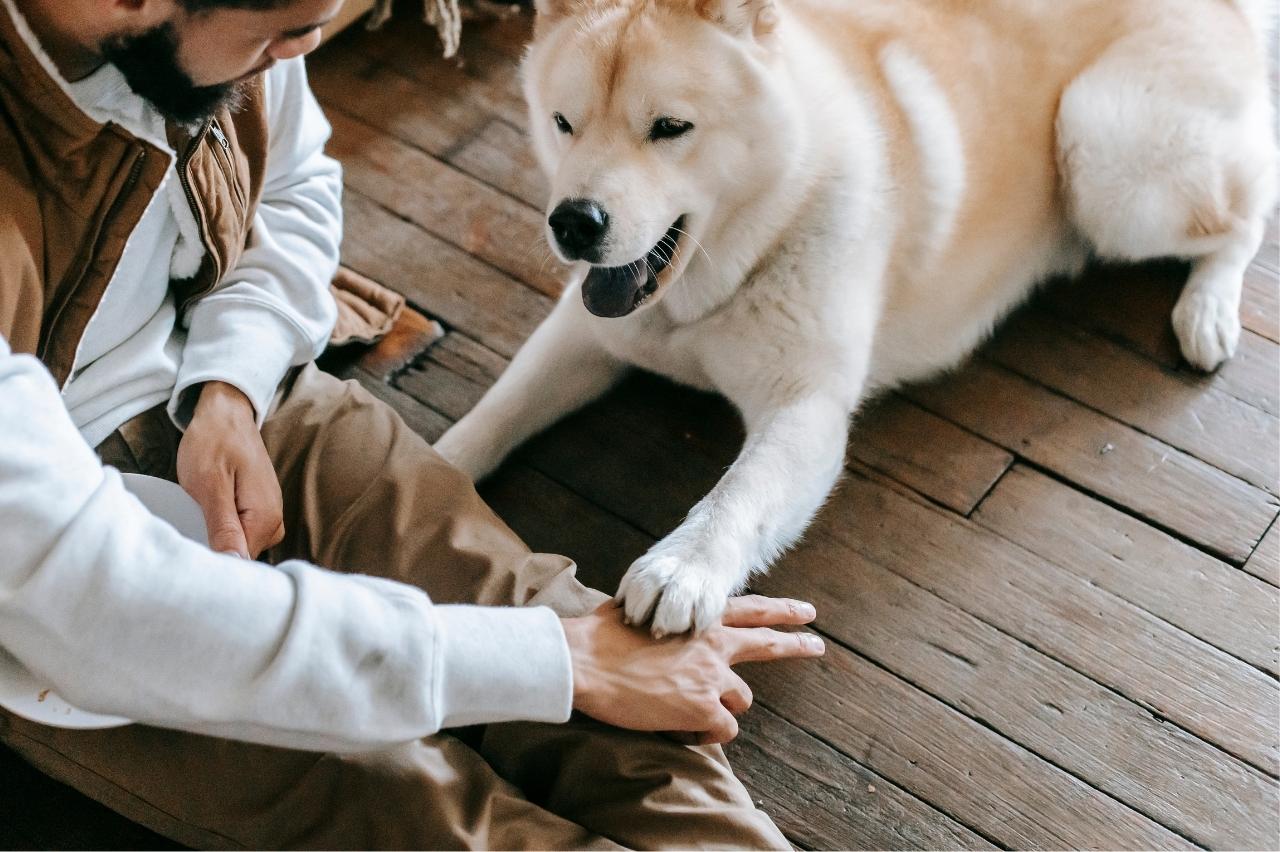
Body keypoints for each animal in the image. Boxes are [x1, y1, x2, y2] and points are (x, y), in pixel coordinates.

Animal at [435, 0, 1274, 629]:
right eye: (564, 123)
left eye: (670, 128)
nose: (574, 223)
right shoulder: (584, 333)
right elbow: (494, 413)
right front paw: (428, 472)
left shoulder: (806, 406)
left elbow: (738, 494)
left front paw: (682, 567)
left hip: (1104, 153)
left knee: (1247, 214)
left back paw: (1207, 311)